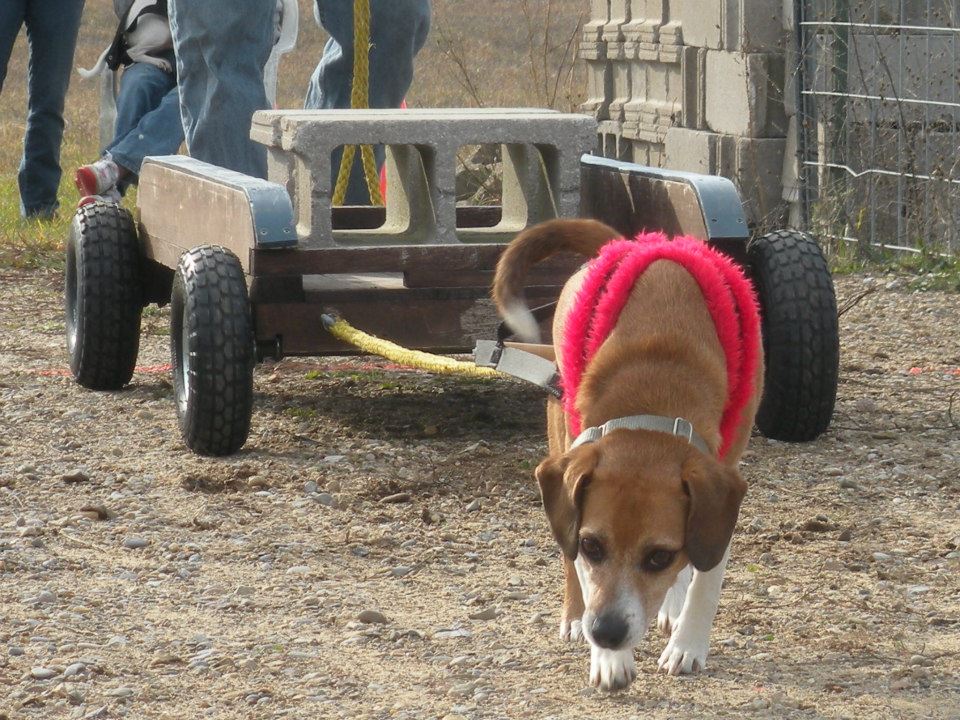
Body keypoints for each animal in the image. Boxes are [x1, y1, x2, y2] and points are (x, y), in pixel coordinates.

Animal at [492, 217, 760, 688]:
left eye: (658, 557)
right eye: (592, 546)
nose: (606, 632)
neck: (653, 398)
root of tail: (630, 243)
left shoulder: (722, 485)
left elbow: (705, 576)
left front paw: (688, 644)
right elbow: (578, 563)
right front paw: (609, 659)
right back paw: (576, 616)